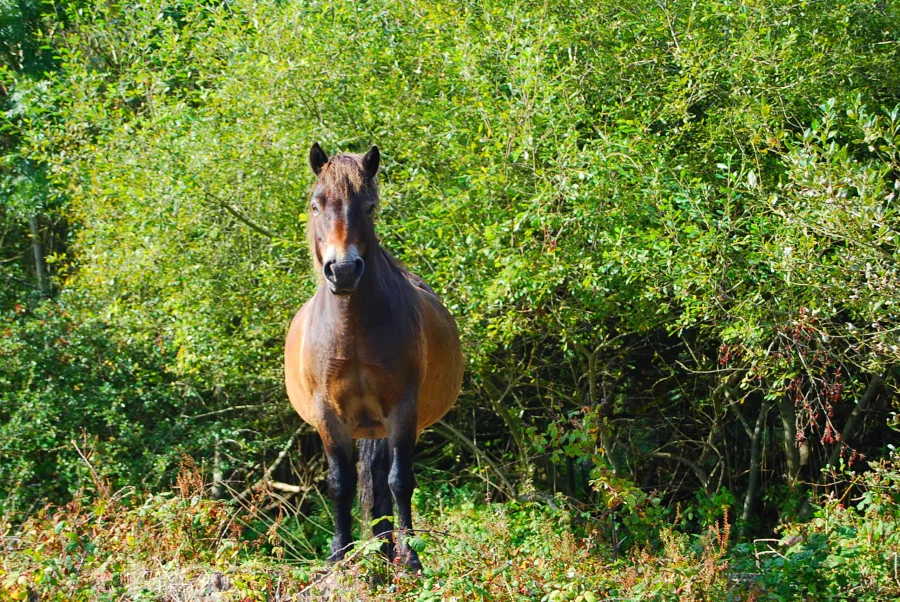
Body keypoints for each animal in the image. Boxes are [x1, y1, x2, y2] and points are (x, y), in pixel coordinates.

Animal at [284, 143, 464, 570]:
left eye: (368, 207)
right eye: (316, 205)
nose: (344, 270)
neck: (353, 334)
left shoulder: (402, 410)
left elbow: (400, 481)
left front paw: (411, 557)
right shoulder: (328, 416)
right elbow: (340, 484)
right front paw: (338, 555)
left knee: (383, 482)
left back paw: (388, 552)